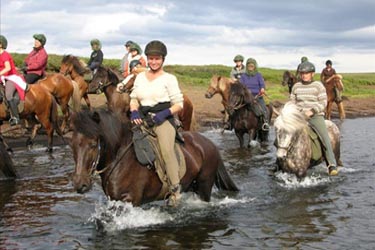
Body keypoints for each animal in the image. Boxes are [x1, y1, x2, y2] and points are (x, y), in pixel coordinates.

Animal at [70, 109, 239, 205]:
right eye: (72, 145)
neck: (120, 159)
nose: (80, 184)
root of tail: (210, 144)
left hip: (204, 186)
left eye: (93, 144)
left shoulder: (131, 199)